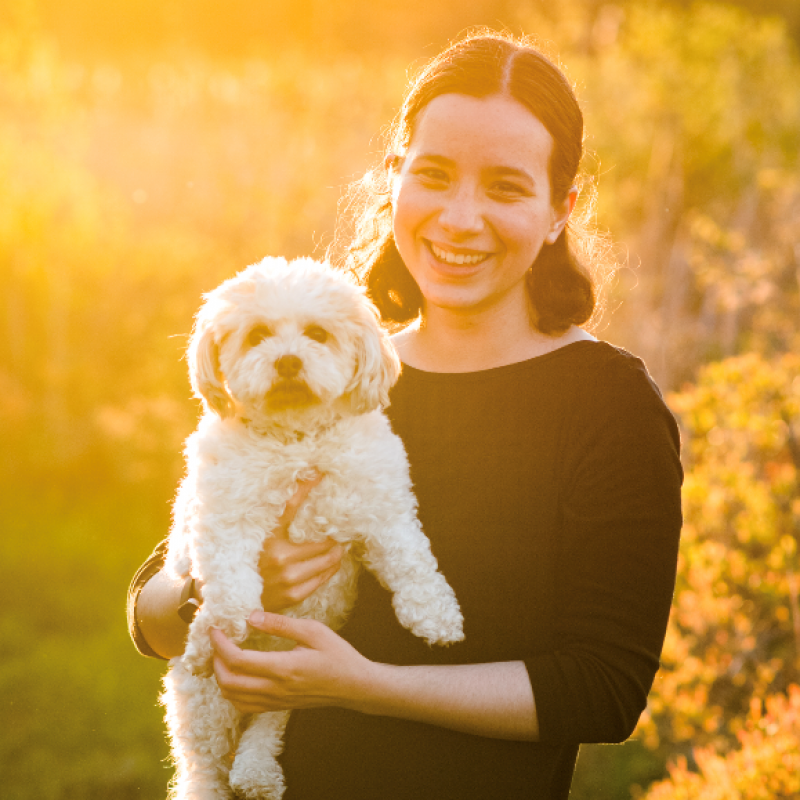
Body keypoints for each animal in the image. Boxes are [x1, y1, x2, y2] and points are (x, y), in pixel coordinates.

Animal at [160, 258, 466, 800]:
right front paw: (226, 622)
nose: (286, 362)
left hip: (293, 675)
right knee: (204, 770)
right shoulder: (224, 517)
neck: (297, 441)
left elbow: (412, 559)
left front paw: (437, 616)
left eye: (318, 334)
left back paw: (257, 772)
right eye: (258, 335)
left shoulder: (382, 507)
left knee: (270, 722)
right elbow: (232, 582)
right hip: (203, 705)